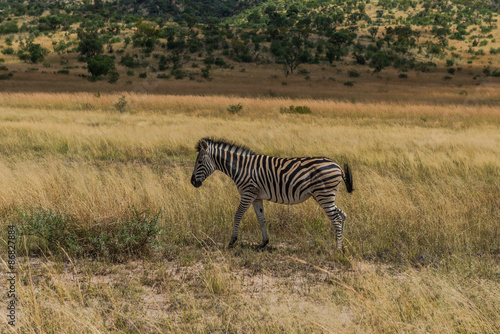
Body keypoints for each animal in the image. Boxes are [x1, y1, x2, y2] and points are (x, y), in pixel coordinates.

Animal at [189, 138, 354, 250]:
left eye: (199, 162)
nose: (192, 182)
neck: (241, 167)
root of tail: (337, 166)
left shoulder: (247, 193)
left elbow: (237, 215)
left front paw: (232, 241)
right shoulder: (256, 197)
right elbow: (261, 219)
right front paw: (264, 243)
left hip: (324, 195)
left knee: (336, 219)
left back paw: (337, 248)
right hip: (324, 196)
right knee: (342, 215)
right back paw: (342, 246)